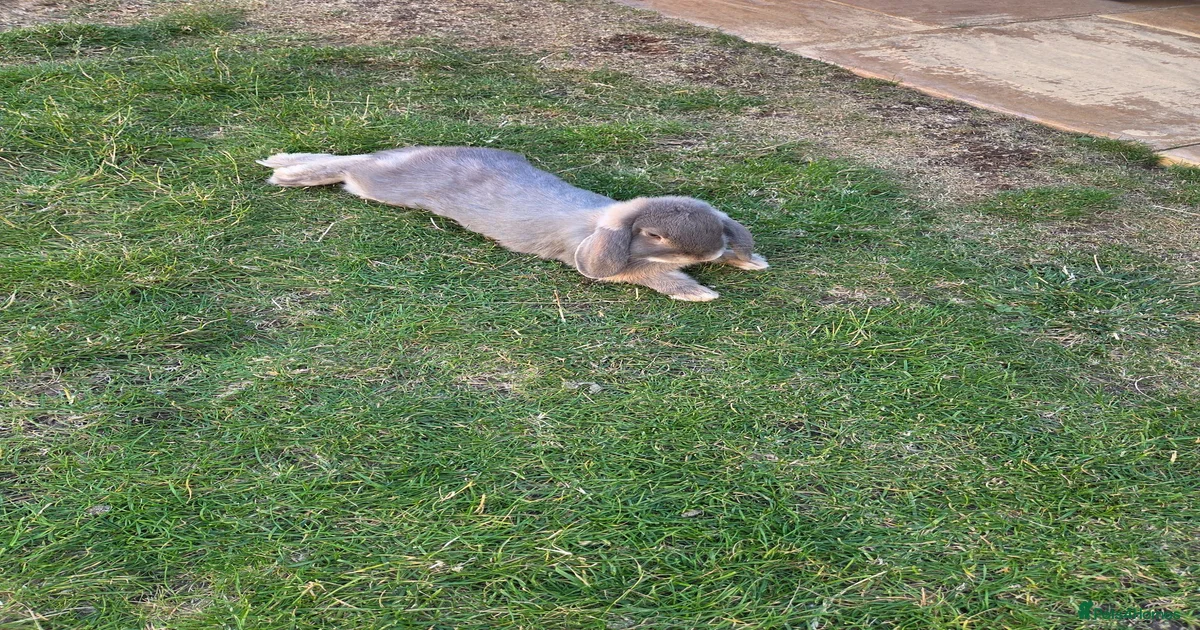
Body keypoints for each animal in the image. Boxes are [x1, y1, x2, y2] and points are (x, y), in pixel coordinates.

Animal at [257, 146, 768, 301]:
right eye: (656, 234)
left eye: (716, 228)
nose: (711, 253)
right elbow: (654, 275)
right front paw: (698, 292)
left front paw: (751, 263)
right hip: (378, 185)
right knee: (352, 167)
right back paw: (285, 172)